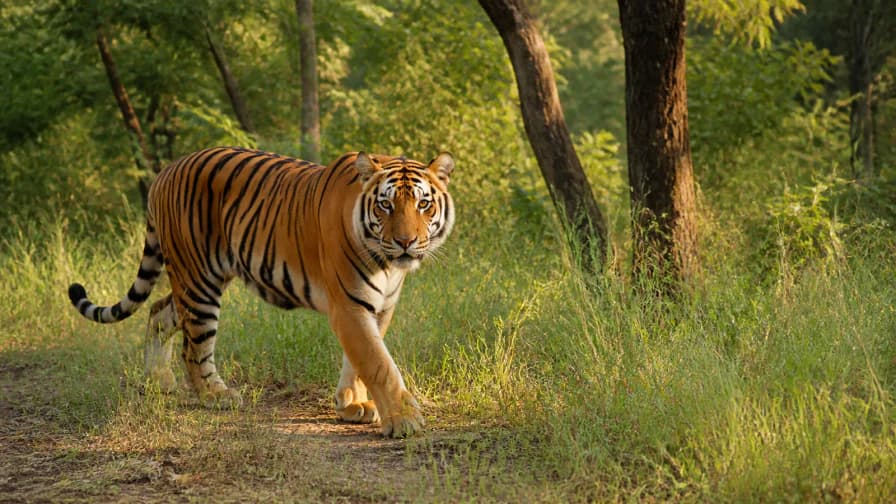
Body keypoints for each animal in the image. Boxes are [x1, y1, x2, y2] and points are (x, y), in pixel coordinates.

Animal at [67, 146, 455, 438]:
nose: (405, 242)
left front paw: (352, 404)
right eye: (385, 204)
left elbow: (359, 361)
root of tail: (166, 170)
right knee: (194, 347)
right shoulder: (349, 305)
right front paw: (404, 420)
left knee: (159, 311)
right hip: (199, 281)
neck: (387, 264)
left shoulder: (380, 306)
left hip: (197, 279)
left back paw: (159, 379)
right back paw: (215, 394)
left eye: (423, 204)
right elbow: (378, 363)